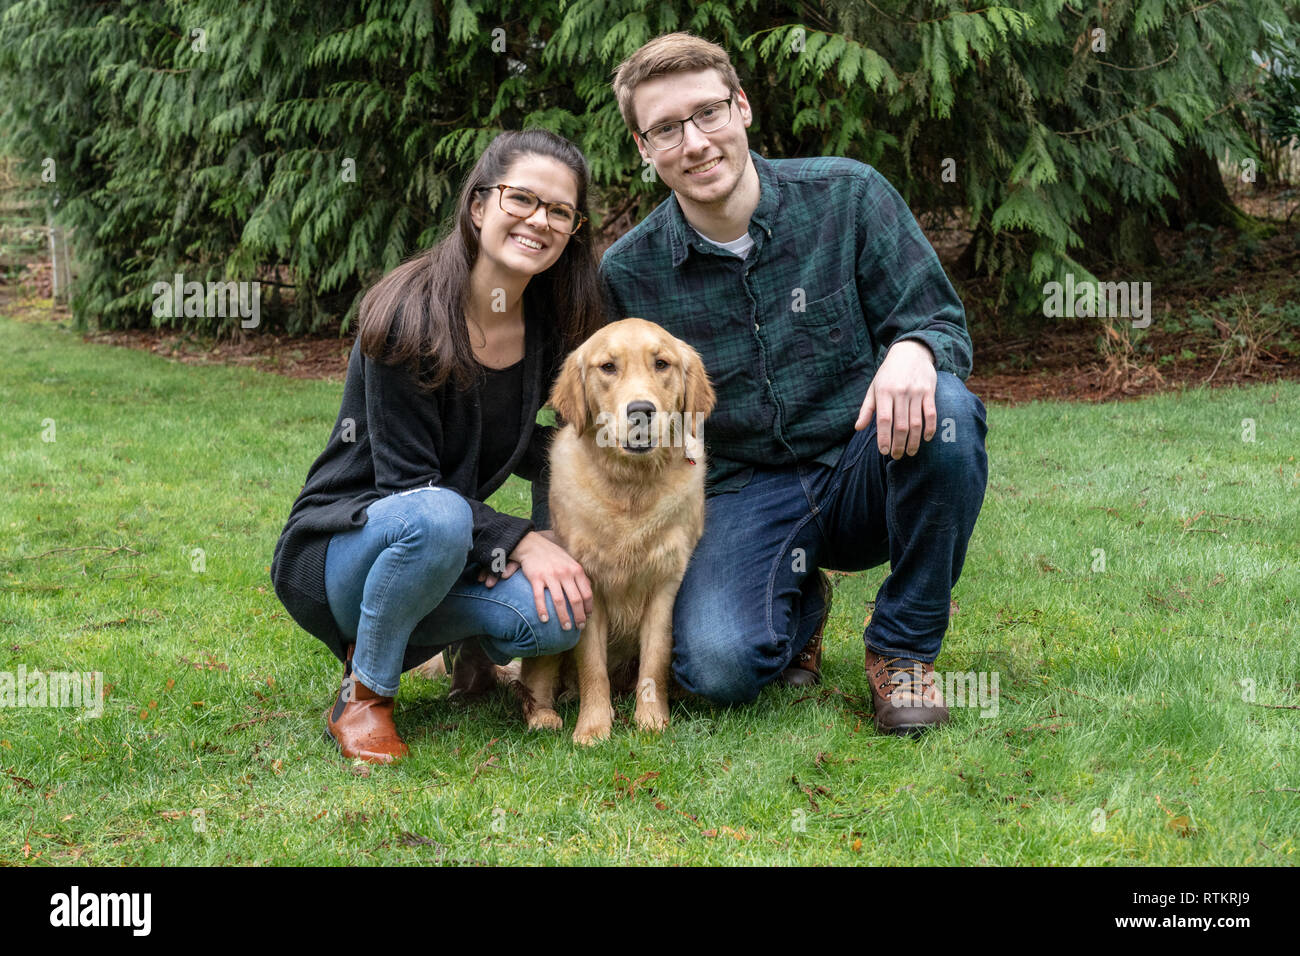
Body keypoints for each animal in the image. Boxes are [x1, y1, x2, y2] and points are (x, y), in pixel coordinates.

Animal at [517, 317, 717, 743]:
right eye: (608, 367)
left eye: (662, 364)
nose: (641, 410)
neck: (630, 488)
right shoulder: (586, 584)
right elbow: (592, 666)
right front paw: (593, 727)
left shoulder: (665, 584)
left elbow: (655, 660)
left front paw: (652, 720)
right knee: (534, 682)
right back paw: (544, 715)